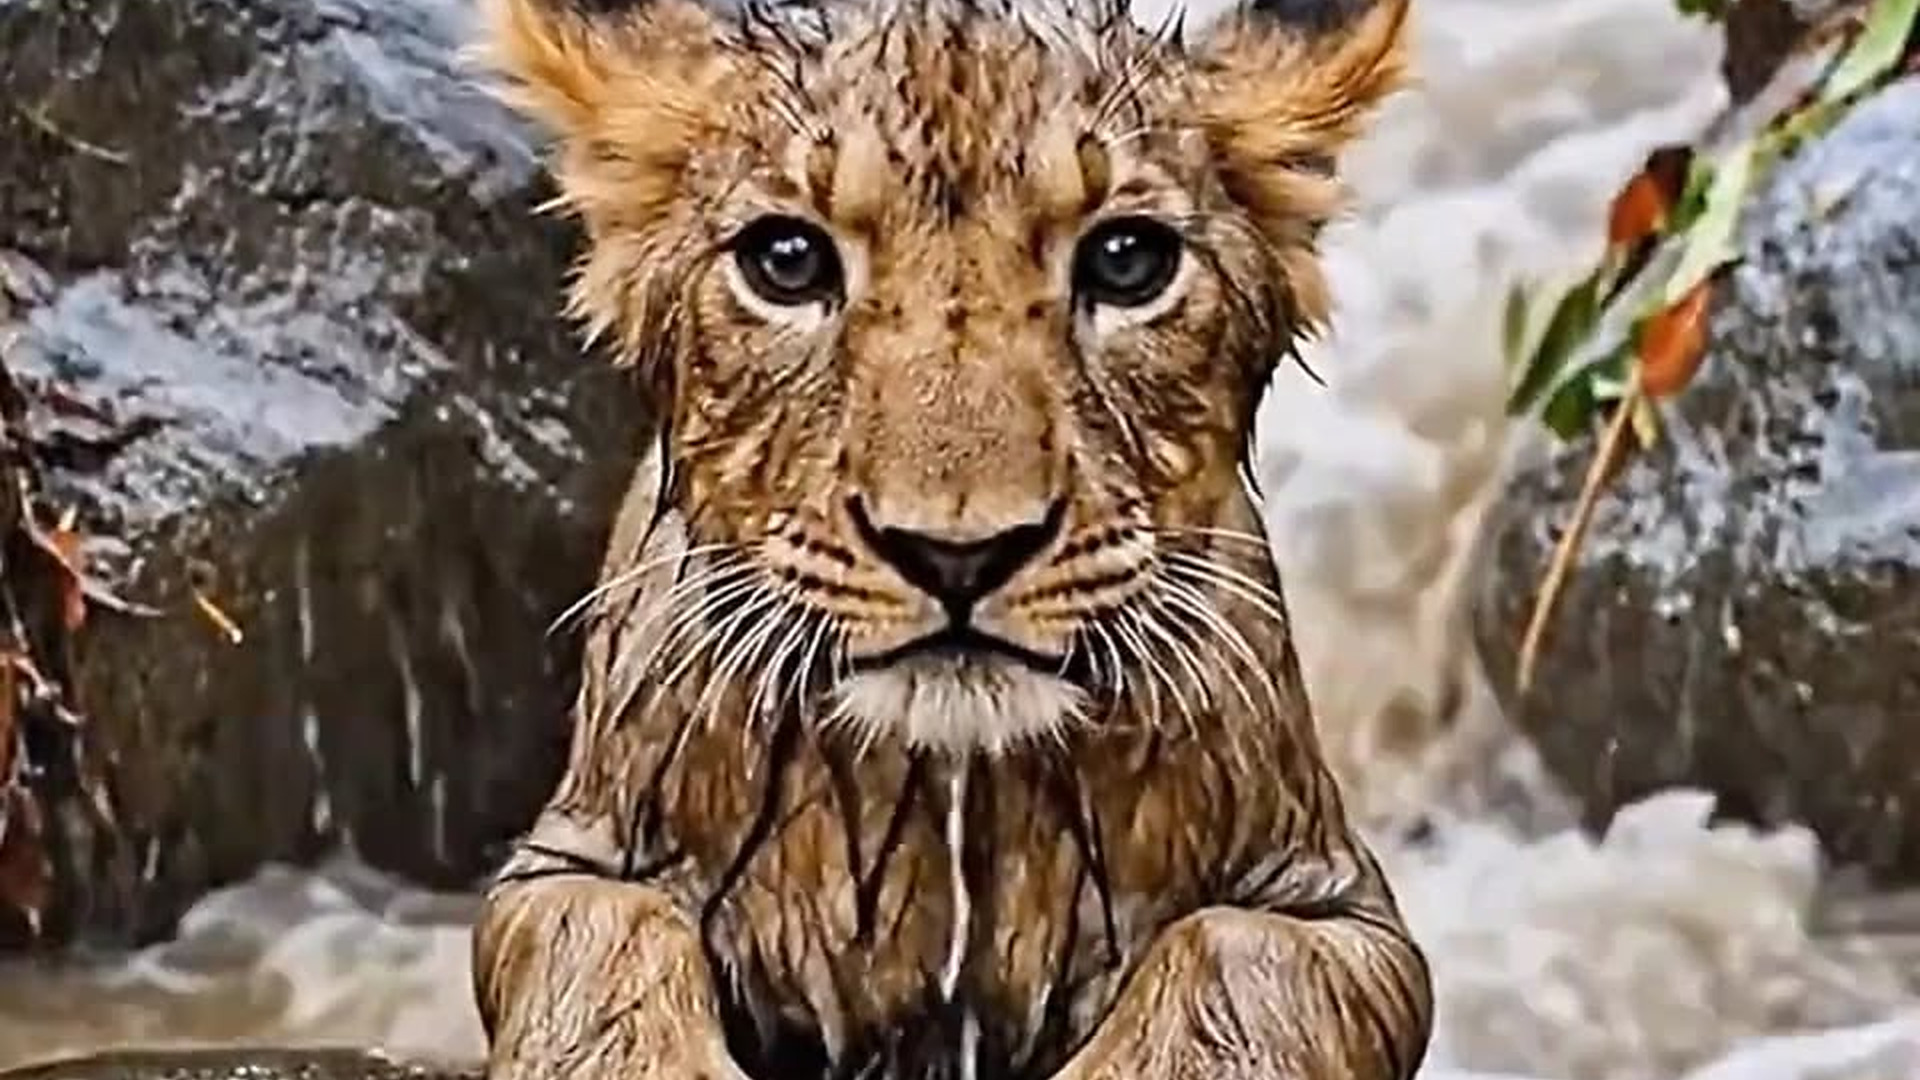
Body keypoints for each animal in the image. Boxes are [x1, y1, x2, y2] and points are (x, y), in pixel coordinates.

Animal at [469, 0, 1434, 1077]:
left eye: (1127, 260)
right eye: (787, 262)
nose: (958, 554)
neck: (949, 797)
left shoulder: (1341, 908)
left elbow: (1234, 954)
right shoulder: (564, 857)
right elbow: (606, 927)